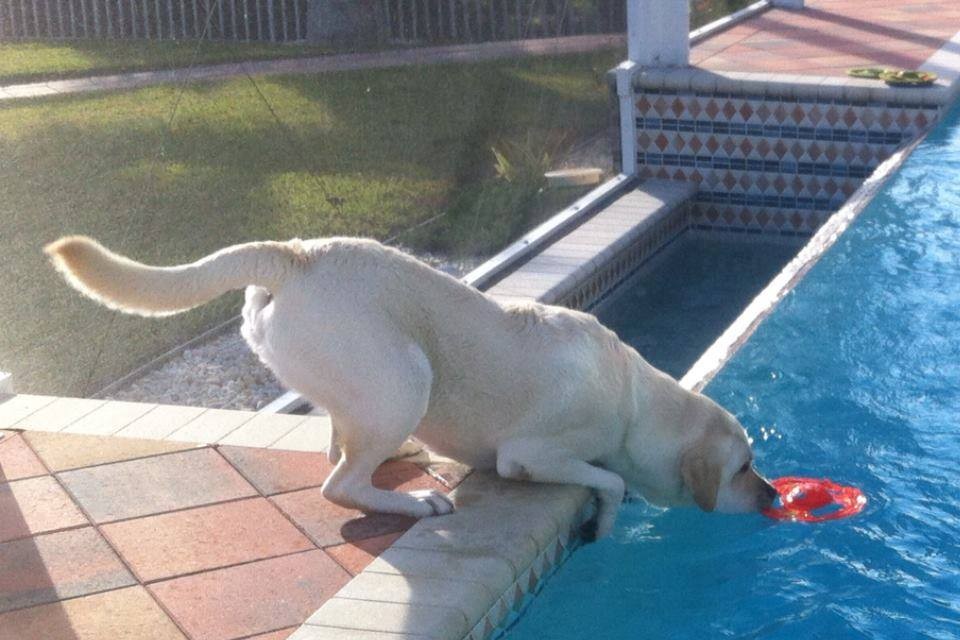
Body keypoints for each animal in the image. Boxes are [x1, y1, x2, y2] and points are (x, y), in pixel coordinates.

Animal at [48, 235, 776, 536]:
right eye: (743, 468)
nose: (772, 494)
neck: (634, 400)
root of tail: (295, 254)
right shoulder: (533, 456)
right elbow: (612, 480)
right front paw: (605, 513)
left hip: (366, 385)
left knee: (339, 445)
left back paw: (398, 459)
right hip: (406, 376)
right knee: (338, 483)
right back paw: (414, 503)